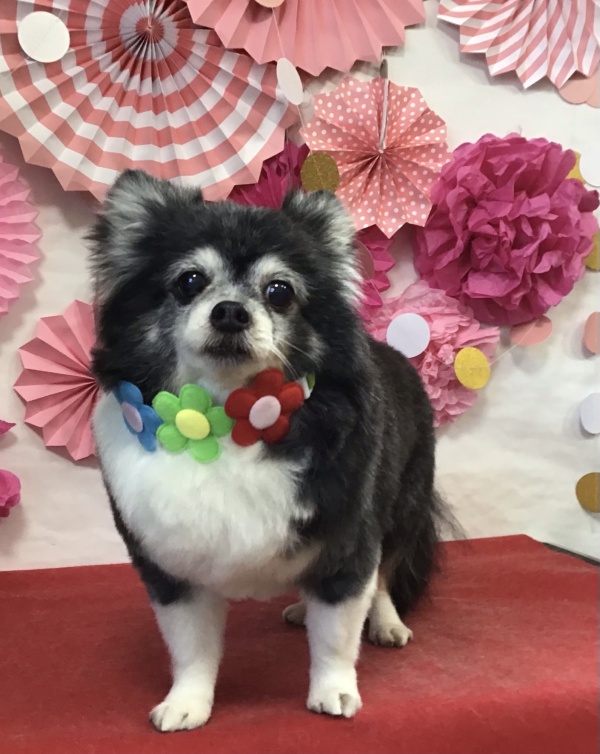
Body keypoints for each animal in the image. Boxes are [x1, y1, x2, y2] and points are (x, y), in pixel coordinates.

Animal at [90, 169, 446, 732]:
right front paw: (188, 701)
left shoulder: (349, 544)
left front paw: (334, 691)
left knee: (385, 578)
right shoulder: (172, 569)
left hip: (402, 507)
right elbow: (191, 649)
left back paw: (385, 622)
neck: (224, 422)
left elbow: (337, 633)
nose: (231, 312)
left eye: (279, 292)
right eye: (189, 282)